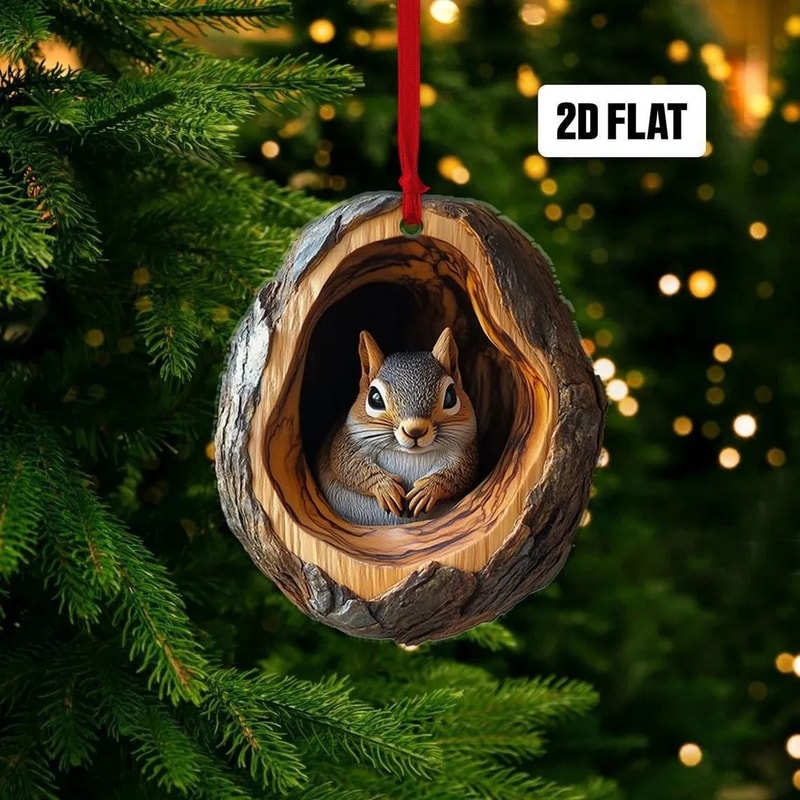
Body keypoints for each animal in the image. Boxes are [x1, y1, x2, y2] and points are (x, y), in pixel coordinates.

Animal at [316, 327, 479, 526]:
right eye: (374, 398)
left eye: (451, 397)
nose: (415, 430)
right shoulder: (348, 441)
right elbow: (347, 465)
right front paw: (385, 487)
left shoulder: (462, 450)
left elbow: (461, 472)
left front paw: (427, 490)